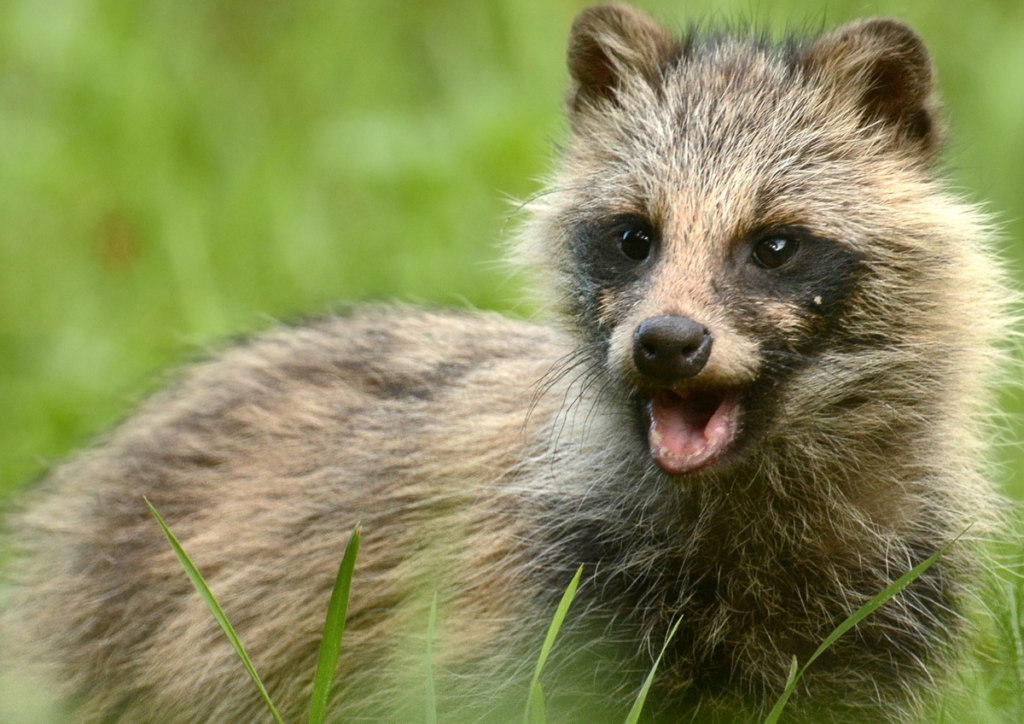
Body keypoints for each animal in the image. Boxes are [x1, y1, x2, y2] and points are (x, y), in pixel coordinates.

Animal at [0, 1, 1007, 724]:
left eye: (776, 245)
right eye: (633, 237)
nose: (666, 343)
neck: (746, 504)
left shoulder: (879, 624)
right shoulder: (532, 622)